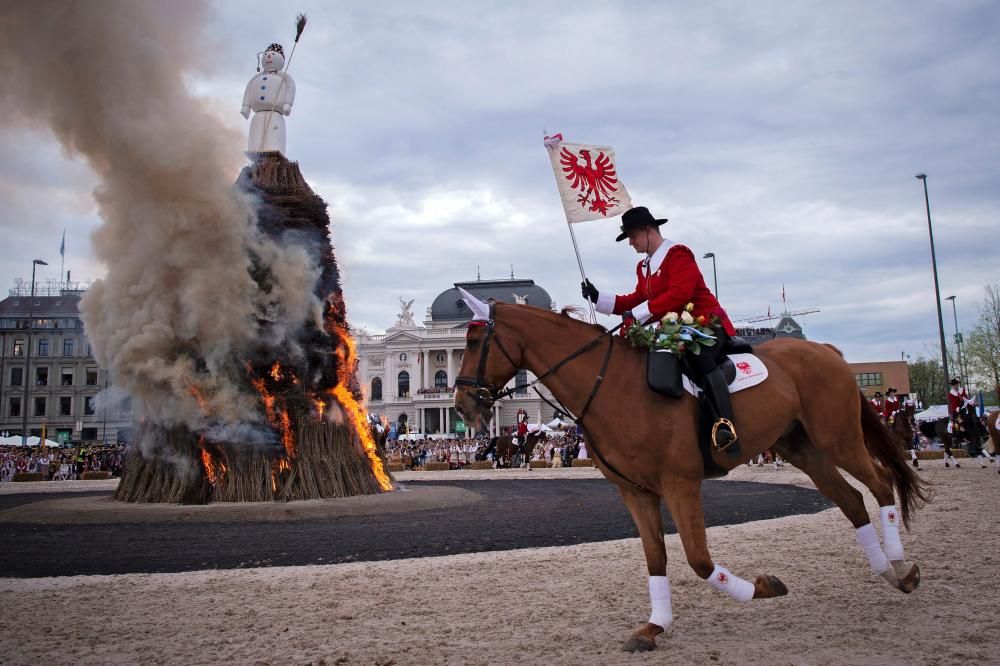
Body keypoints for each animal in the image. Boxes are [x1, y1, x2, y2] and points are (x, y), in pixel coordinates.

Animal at [454, 298, 928, 652]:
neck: (611, 385)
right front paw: (655, 626)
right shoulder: (635, 492)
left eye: (474, 341)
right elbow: (655, 557)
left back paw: (900, 567)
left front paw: (762, 587)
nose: (461, 405)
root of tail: (824, 349)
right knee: (851, 501)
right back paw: (887, 571)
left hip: (838, 439)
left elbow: (699, 560)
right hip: (803, 449)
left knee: (880, 484)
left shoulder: (680, 484)